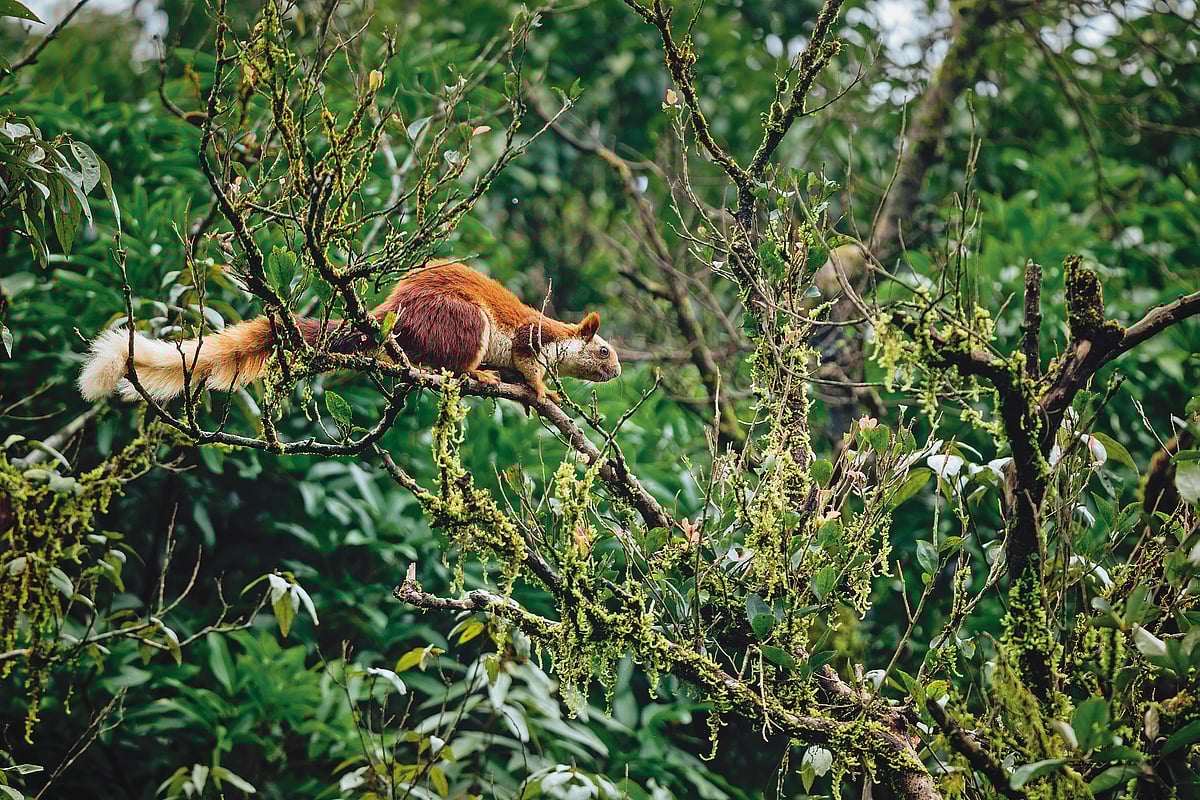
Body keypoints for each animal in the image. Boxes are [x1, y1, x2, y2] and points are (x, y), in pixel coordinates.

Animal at [78, 261, 621, 405]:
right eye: (604, 350)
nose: (616, 371)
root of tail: (393, 314)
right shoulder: (531, 337)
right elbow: (529, 366)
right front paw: (541, 391)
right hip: (465, 321)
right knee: (452, 361)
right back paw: (475, 377)